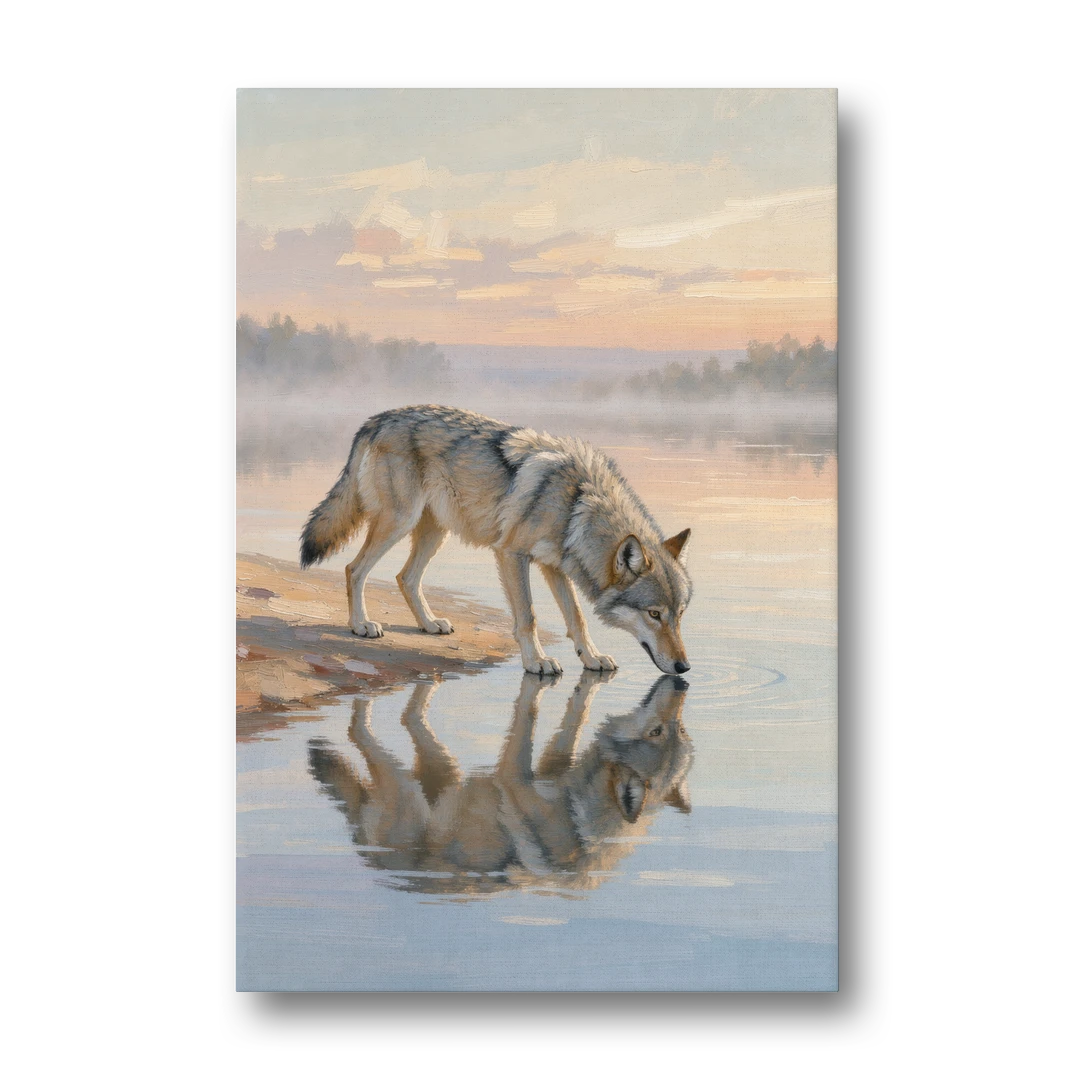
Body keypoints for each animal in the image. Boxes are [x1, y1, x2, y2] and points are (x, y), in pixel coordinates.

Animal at [299, 405, 692, 675]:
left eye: (679, 615)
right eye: (654, 614)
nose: (684, 667)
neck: (577, 502)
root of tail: (377, 418)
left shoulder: (554, 566)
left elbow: (576, 617)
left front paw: (591, 657)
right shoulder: (512, 554)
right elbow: (529, 616)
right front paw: (536, 662)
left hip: (435, 531)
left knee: (405, 577)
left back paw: (429, 624)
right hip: (399, 522)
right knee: (354, 569)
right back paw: (361, 626)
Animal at [307, 671, 692, 894]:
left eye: (673, 730)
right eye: (661, 731)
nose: (683, 682)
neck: (578, 809)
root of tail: (371, 858)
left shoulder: (513, 773)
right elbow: (555, 715)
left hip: (424, 779)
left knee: (367, 729)